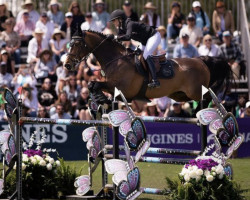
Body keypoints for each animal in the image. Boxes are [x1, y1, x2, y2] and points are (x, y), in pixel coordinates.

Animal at [64, 30, 230, 105]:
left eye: (77, 44)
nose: (67, 65)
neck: (116, 60)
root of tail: (201, 61)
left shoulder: (121, 88)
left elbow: (96, 84)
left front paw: (100, 98)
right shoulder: (114, 87)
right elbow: (92, 84)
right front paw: (101, 99)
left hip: (195, 92)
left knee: (208, 97)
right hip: (179, 95)